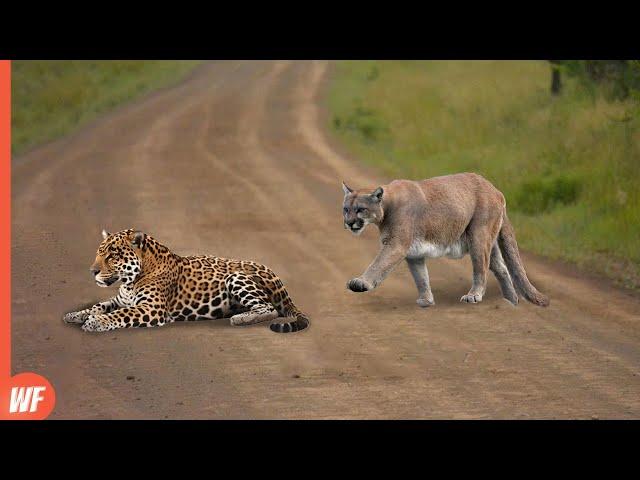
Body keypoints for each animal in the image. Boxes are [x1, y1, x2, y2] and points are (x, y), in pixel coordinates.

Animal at [63, 229, 310, 334]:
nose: (92, 271)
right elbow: (99, 305)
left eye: (112, 255)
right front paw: (76, 314)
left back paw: (241, 318)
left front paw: (95, 322)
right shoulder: (120, 299)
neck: (130, 281)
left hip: (236, 276)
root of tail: (275, 275)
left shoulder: (152, 308)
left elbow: (119, 314)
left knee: (269, 308)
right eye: (99, 252)